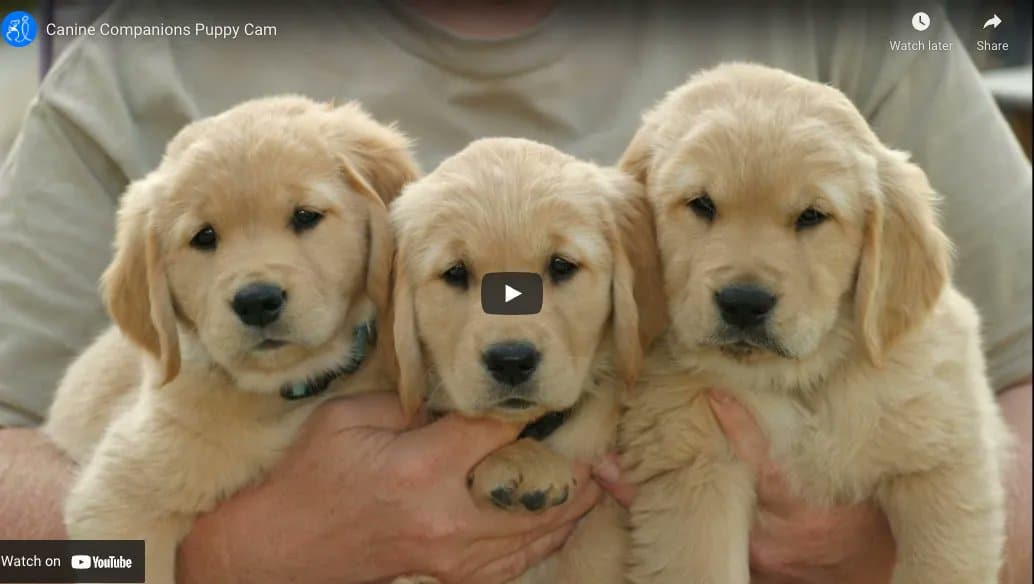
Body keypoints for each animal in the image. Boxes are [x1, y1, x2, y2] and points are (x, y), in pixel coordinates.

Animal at [616, 61, 1005, 578]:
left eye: (812, 216)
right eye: (701, 204)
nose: (743, 302)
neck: (802, 385)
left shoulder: (944, 457)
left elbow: (941, 563)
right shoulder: (697, 469)